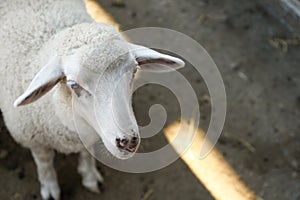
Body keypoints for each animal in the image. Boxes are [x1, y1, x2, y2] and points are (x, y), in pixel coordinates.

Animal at [0, 0, 184, 200]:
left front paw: (89, 176)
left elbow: (86, 153)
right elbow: (44, 163)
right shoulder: (34, 140)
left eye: (134, 70)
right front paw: (49, 186)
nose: (128, 142)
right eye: (73, 84)